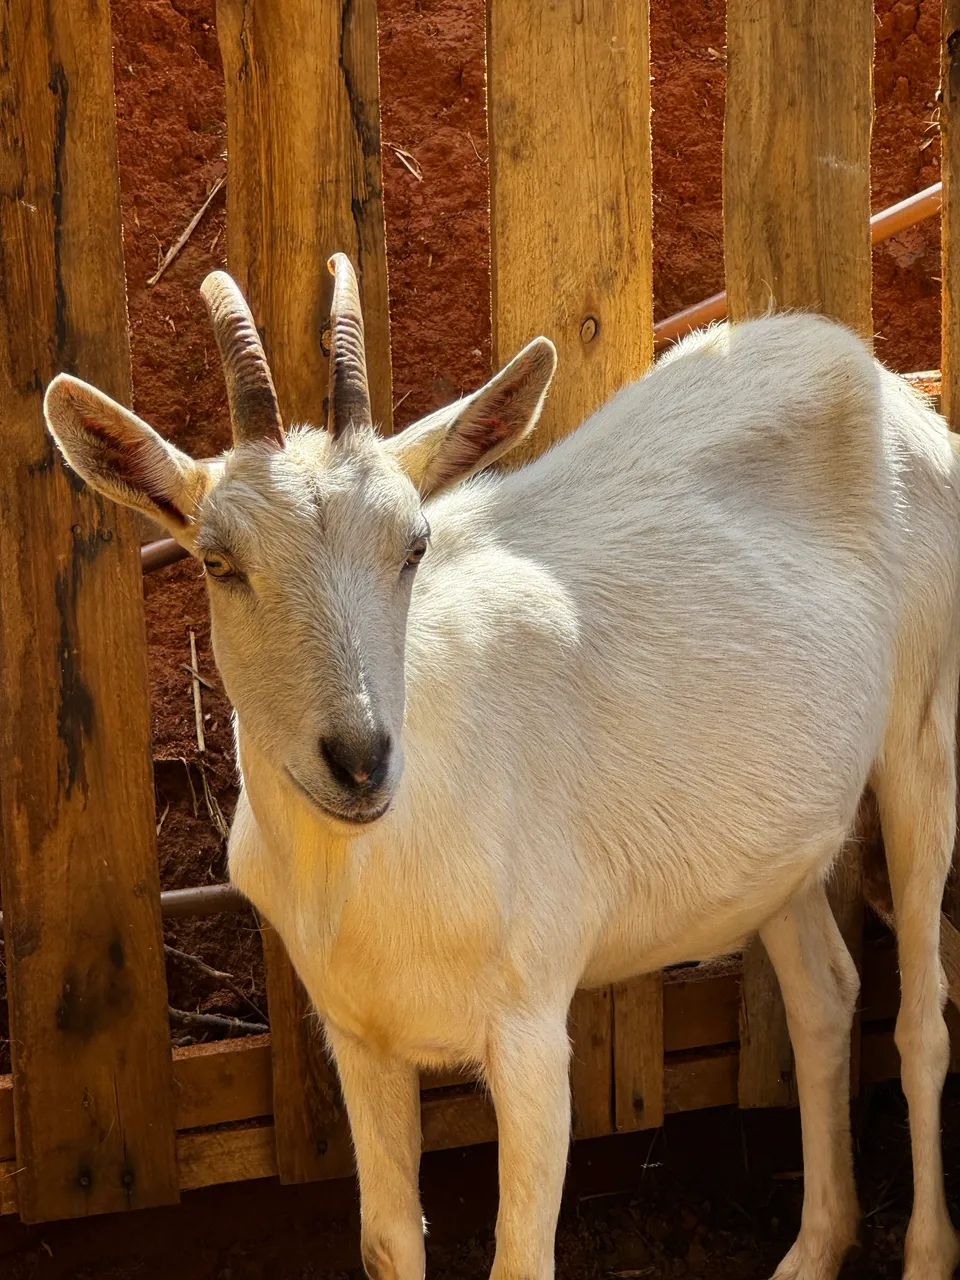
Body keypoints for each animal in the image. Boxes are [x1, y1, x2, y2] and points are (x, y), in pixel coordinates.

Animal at [44, 254, 960, 1280]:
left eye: (413, 545)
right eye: (216, 561)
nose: (359, 760)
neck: (372, 865)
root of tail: (875, 376)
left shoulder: (529, 1034)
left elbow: (521, 1256)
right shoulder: (358, 1035)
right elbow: (387, 1241)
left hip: (924, 731)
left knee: (923, 1015)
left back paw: (925, 1252)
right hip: (773, 837)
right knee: (825, 995)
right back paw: (812, 1247)